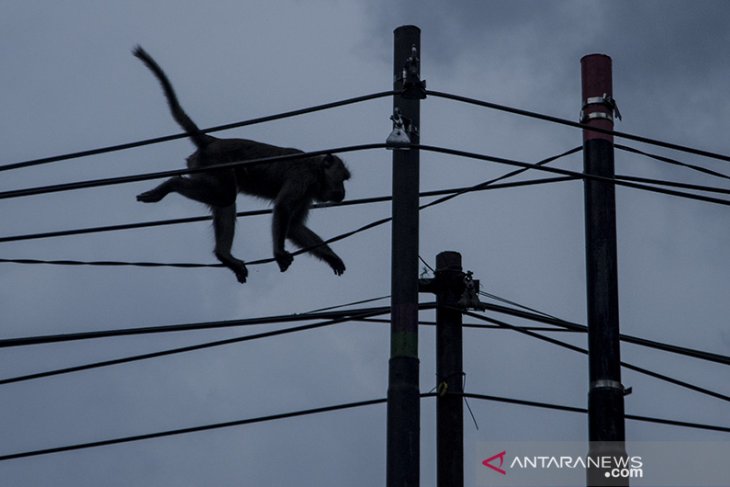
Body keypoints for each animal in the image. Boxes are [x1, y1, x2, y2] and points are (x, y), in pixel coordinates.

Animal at [132, 47, 348, 284]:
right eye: (342, 179)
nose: (343, 192)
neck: (316, 171)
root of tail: (213, 141)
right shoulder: (303, 178)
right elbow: (282, 208)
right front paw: (278, 253)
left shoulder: (308, 192)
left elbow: (294, 228)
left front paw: (331, 256)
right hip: (215, 162)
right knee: (225, 195)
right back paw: (171, 185)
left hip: (203, 165)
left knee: (224, 199)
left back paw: (224, 256)